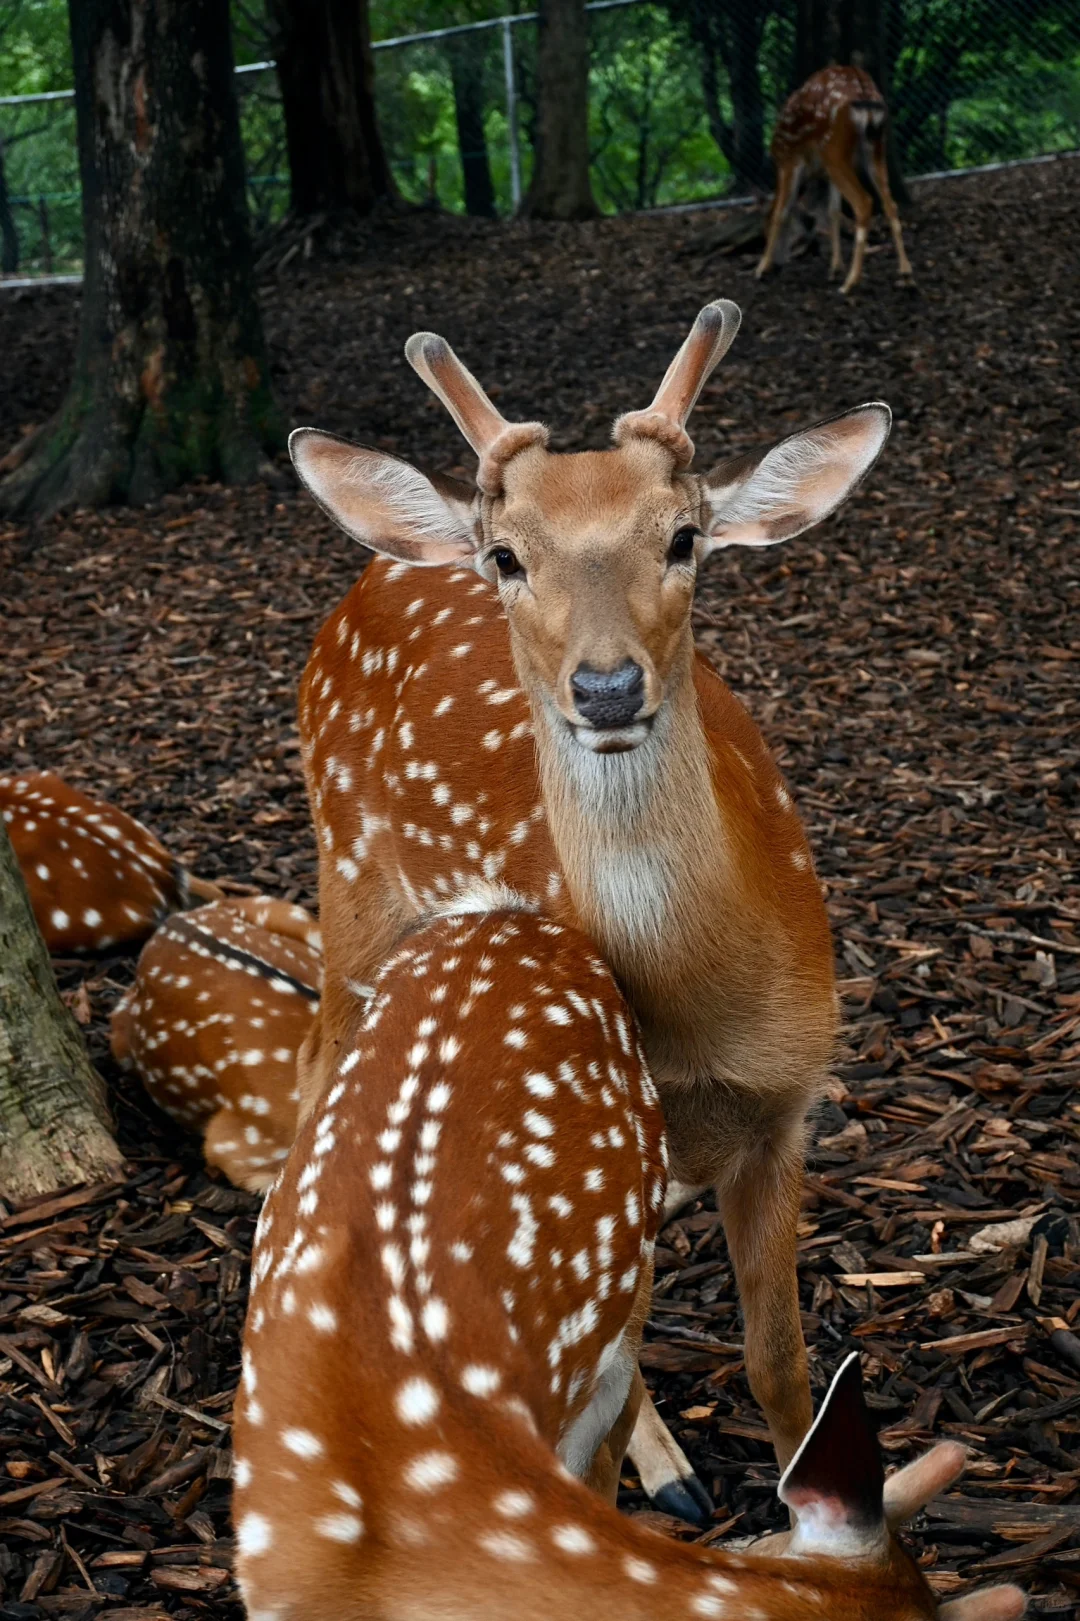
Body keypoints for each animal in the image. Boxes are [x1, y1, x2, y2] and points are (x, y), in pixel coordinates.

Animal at [286, 298, 889, 1521]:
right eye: (509, 555)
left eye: (685, 538)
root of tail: (380, 570)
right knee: (315, 1062)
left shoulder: (791, 1106)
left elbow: (778, 1361)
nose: (606, 688)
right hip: (350, 882)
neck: (709, 1019)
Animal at [755, 65, 913, 294]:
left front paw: (761, 268)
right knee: (890, 204)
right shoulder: (826, 175)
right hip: (875, 148)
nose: (777, 265)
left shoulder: (789, 161)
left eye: (765, 232)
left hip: (834, 149)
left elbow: (781, 212)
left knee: (864, 202)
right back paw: (906, 274)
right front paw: (835, 268)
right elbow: (833, 212)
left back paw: (850, 282)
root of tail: (863, 92)